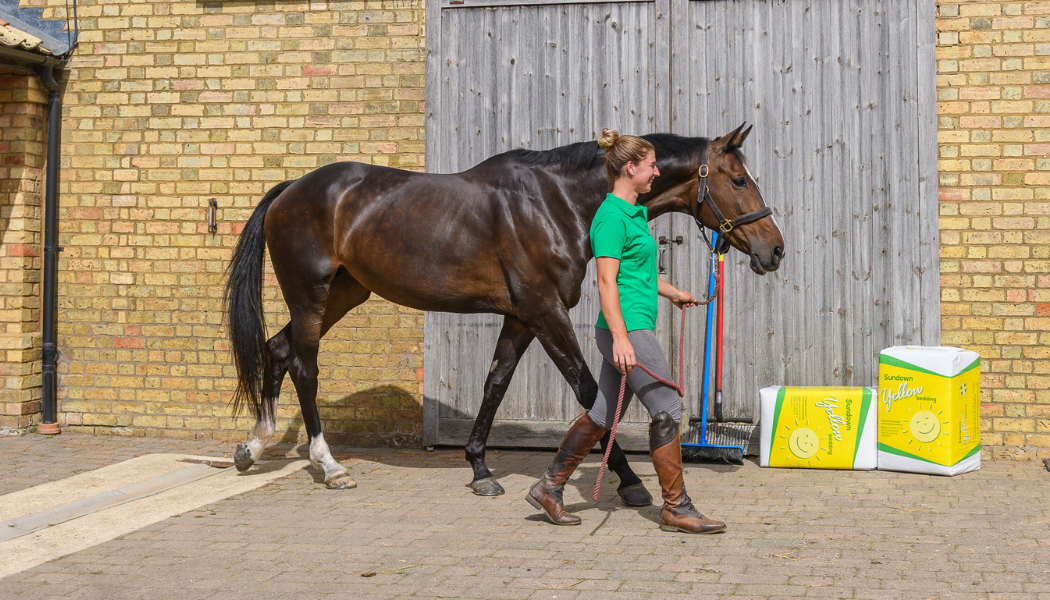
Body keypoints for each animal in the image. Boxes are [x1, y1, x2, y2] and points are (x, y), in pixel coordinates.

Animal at [225, 123, 785, 500]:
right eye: (738, 180)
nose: (774, 250)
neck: (559, 201)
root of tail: (290, 190)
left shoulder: (520, 317)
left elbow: (495, 384)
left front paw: (479, 469)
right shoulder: (544, 311)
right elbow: (590, 393)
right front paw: (628, 481)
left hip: (346, 293)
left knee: (278, 349)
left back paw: (253, 447)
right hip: (311, 296)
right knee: (304, 366)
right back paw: (329, 465)